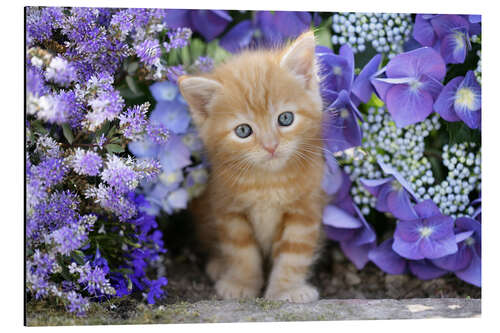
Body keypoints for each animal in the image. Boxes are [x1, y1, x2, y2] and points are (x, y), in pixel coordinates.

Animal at [178, 30, 326, 300]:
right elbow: (241, 252)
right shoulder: (228, 209)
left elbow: (294, 253)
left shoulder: (305, 208)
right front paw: (241, 284)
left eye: (285, 118)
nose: (271, 146)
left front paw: (287, 290)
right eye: (243, 131)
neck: (267, 182)